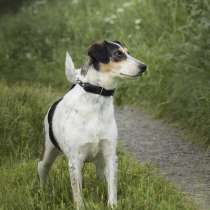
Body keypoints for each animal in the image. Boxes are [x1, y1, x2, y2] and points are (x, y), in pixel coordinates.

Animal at [37, 40, 146, 209]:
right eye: (118, 54)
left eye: (128, 52)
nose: (144, 67)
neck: (96, 98)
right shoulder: (75, 161)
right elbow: (78, 195)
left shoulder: (110, 156)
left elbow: (112, 188)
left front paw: (112, 205)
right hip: (48, 153)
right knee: (42, 169)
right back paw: (44, 193)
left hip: (100, 163)